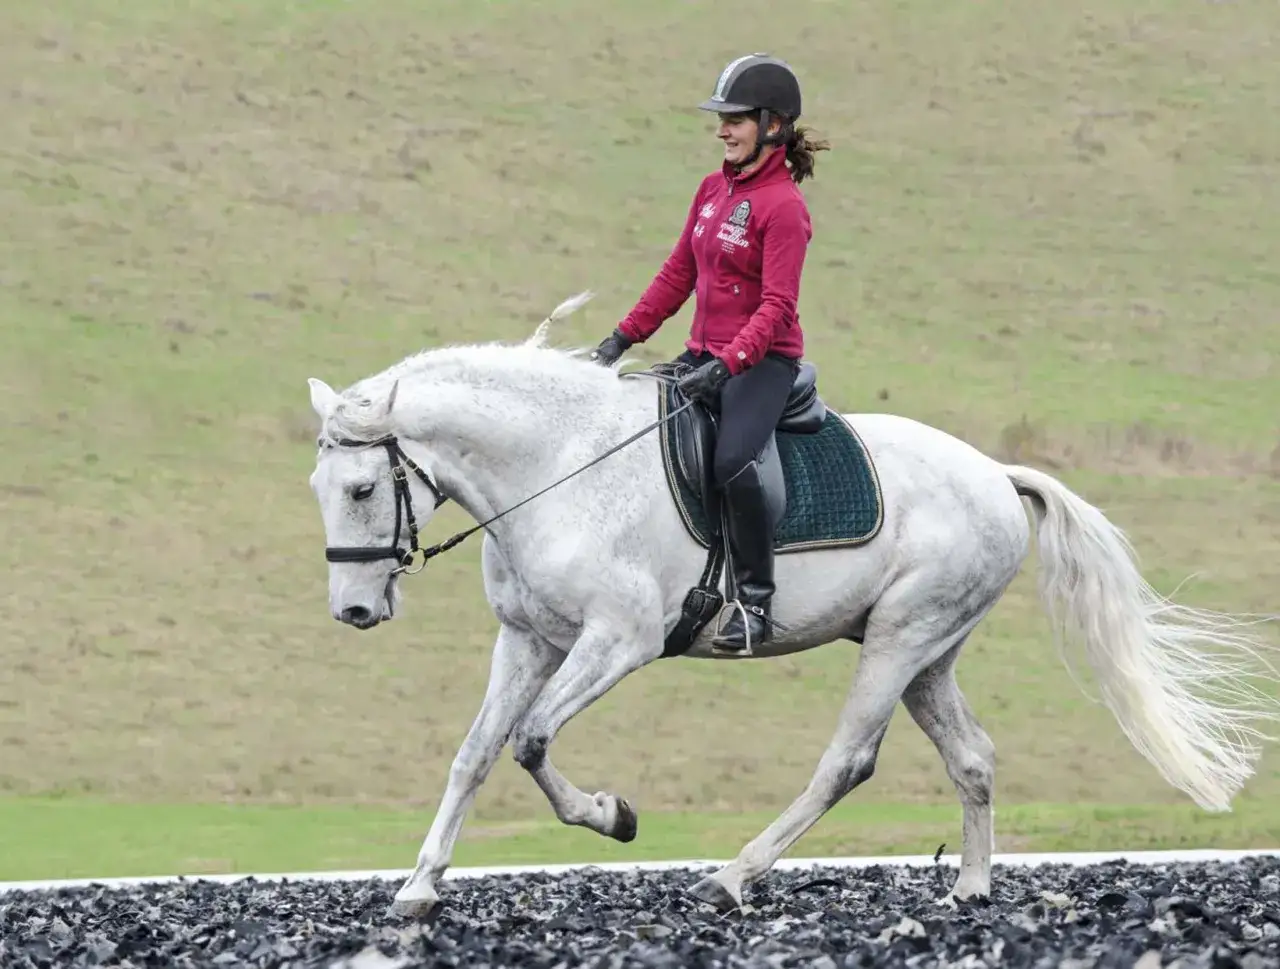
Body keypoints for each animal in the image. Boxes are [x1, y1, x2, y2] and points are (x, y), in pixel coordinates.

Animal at [305, 292, 1280, 918]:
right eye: (322, 487)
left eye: (361, 487)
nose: (353, 612)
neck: (560, 464)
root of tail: (996, 475)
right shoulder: (529, 640)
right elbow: (475, 753)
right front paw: (419, 886)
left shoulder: (618, 639)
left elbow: (533, 738)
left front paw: (614, 815)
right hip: (928, 651)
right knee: (971, 756)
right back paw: (969, 888)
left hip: (902, 638)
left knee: (846, 762)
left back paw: (731, 877)